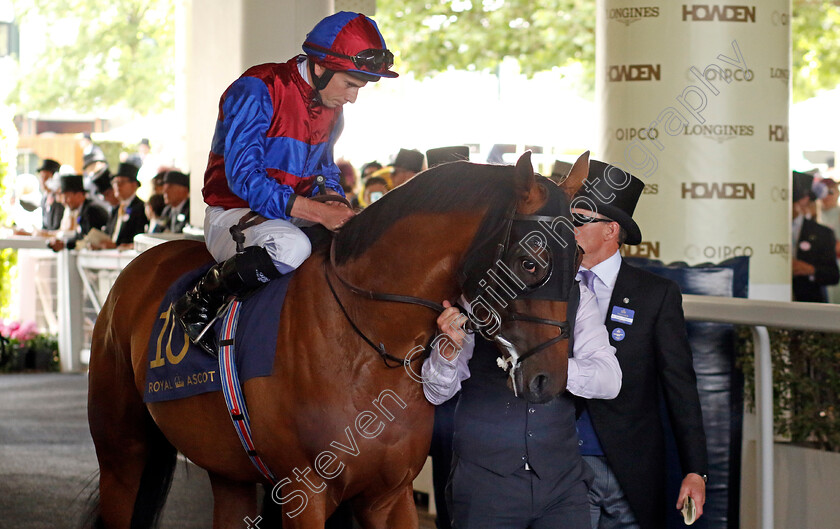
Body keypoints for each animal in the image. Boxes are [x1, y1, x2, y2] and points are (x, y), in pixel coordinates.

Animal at [82, 151, 588, 524]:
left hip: (227, 468)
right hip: (122, 451)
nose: (549, 380)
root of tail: (141, 264)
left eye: (581, 256)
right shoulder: (303, 493)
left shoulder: (390, 494)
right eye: (530, 262)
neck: (367, 346)